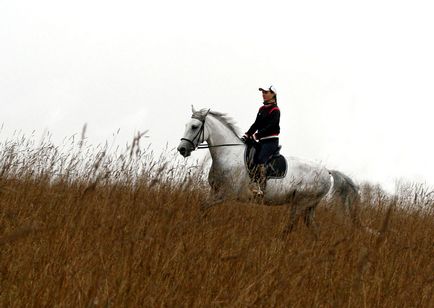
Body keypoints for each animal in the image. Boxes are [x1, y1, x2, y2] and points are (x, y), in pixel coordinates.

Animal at [176, 106, 360, 233]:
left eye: (194, 126)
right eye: (186, 124)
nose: (182, 149)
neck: (228, 154)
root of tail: (327, 172)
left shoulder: (224, 194)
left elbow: (204, 206)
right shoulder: (214, 191)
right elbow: (203, 207)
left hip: (301, 203)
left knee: (291, 225)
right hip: (309, 206)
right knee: (313, 227)